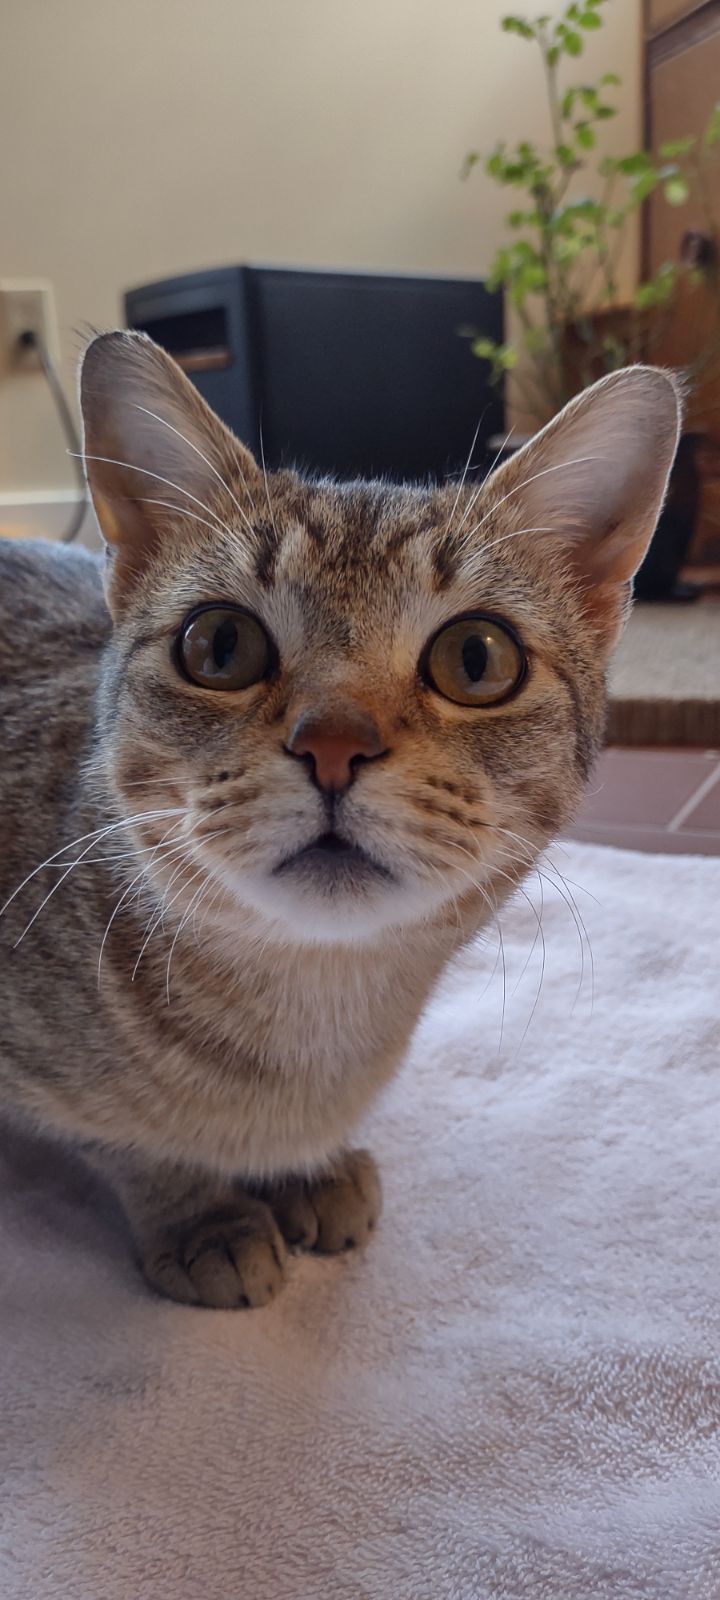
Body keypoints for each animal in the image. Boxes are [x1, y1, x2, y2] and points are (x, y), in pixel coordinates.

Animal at [0, 331, 681, 1305]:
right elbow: (123, 1140)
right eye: (219, 645)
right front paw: (202, 1212)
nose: (333, 744)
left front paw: (305, 1169)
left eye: (478, 658)